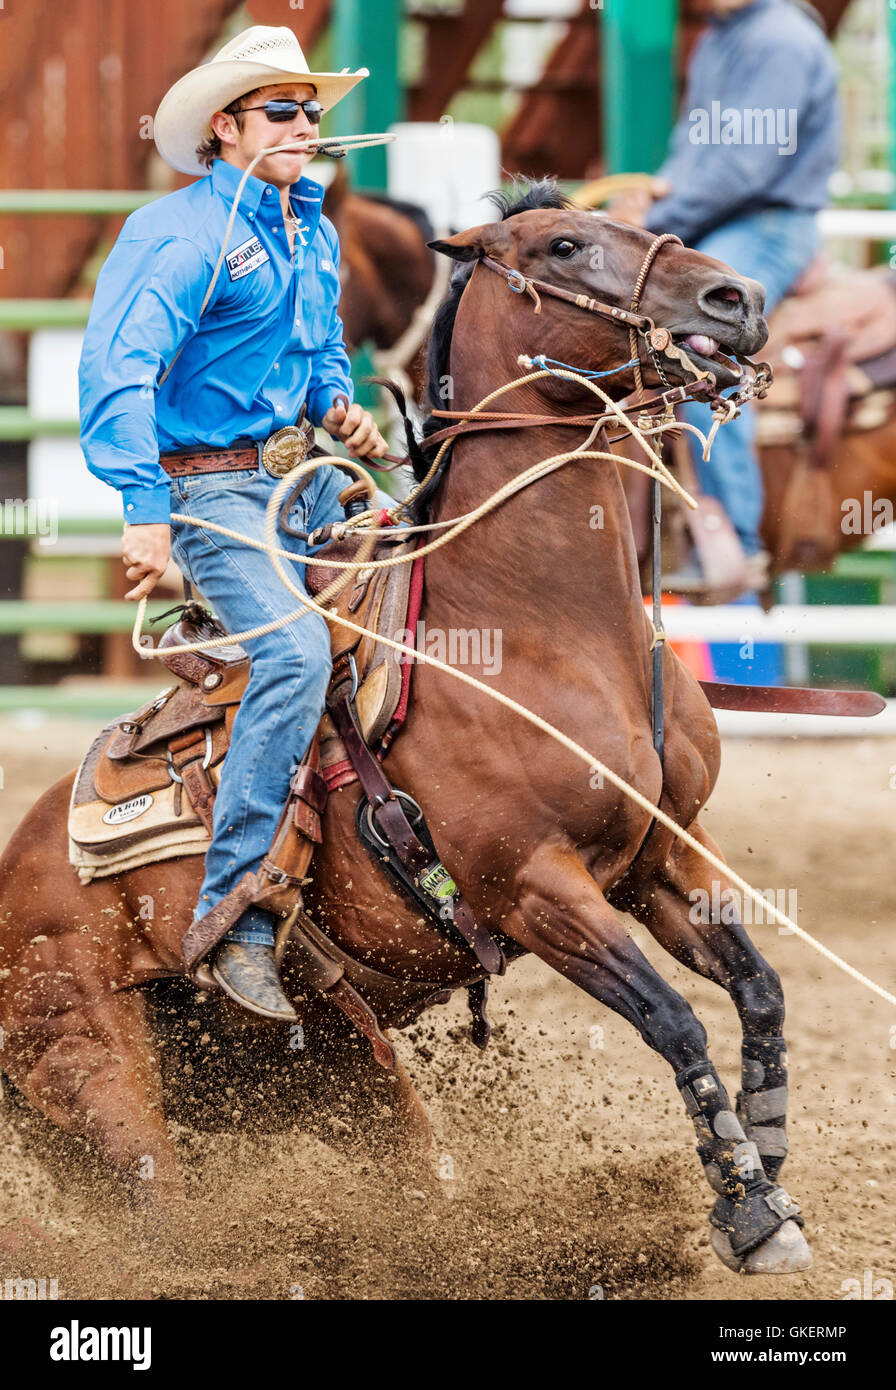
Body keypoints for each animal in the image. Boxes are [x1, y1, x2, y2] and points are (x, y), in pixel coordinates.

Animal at [0, 190, 805, 1273]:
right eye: (563, 245)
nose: (739, 298)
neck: (541, 627)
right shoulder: (533, 888)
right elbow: (673, 1021)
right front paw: (747, 1213)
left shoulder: (661, 854)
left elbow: (757, 989)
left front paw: (768, 1170)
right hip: (95, 1074)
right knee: (157, 1221)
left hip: (323, 1065)